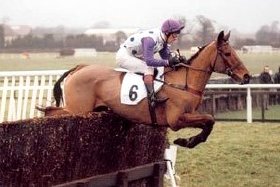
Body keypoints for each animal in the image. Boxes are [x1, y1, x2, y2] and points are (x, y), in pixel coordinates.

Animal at [38, 31, 250, 149]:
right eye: (228, 53)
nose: (246, 76)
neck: (185, 83)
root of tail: (79, 67)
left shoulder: (189, 114)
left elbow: (209, 122)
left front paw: (188, 141)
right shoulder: (176, 120)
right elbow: (209, 119)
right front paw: (187, 141)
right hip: (78, 109)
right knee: (51, 113)